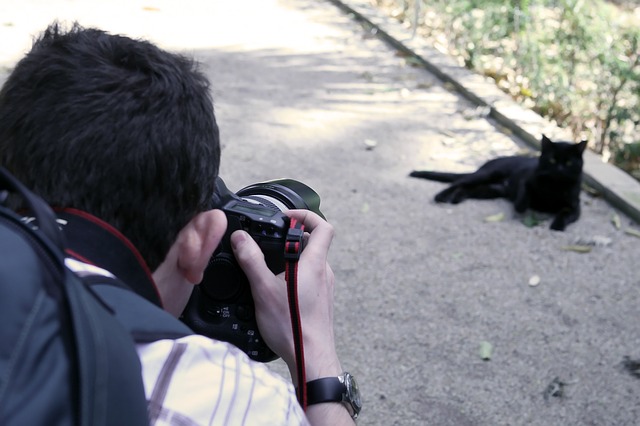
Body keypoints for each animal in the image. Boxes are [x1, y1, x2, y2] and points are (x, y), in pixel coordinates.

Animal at [412, 136, 588, 230]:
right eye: (552, 160)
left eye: (569, 163)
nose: (559, 169)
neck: (554, 187)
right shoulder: (526, 181)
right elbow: (525, 194)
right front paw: (521, 206)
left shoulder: (574, 206)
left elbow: (565, 214)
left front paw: (557, 226)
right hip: (485, 175)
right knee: (458, 183)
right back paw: (441, 196)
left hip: (489, 190)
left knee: (466, 188)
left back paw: (457, 198)